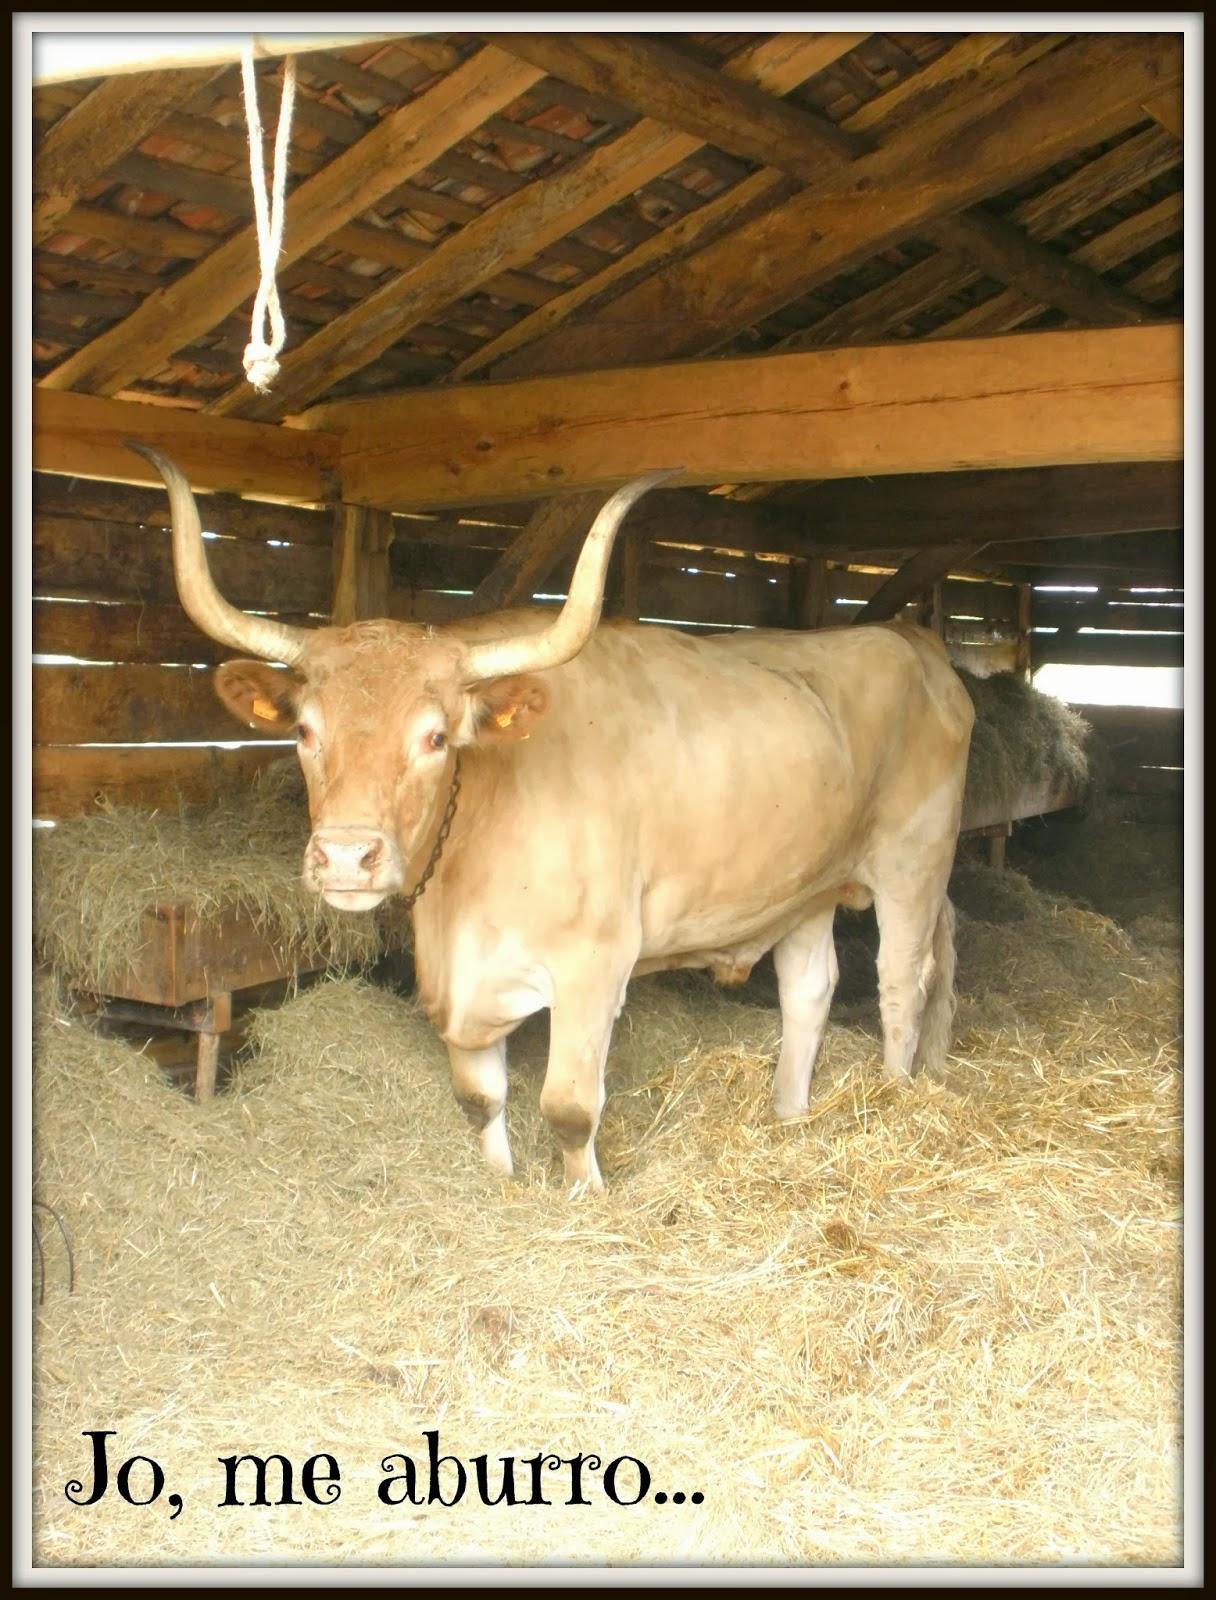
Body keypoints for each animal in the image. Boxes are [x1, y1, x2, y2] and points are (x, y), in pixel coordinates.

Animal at [128, 441, 972, 1190]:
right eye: (305, 731)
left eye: (436, 737)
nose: (343, 857)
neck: (467, 876)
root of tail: (915, 643)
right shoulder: (462, 984)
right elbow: (479, 1098)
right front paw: (503, 1185)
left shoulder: (595, 962)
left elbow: (569, 1106)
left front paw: (582, 1199)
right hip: (804, 886)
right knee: (810, 989)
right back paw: (788, 1117)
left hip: (913, 863)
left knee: (904, 982)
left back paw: (895, 1093)